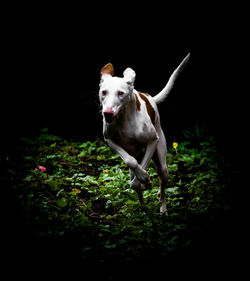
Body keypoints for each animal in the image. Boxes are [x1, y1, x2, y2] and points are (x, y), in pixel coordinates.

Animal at [99, 53, 189, 213]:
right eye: (104, 92)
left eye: (120, 93)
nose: (107, 113)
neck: (124, 119)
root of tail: (151, 97)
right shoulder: (110, 141)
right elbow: (131, 162)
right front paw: (143, 179)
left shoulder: (153, 141)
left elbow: (141, 174)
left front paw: (145, 179)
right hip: (133, 162)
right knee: (135, 176)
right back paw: (142, 207)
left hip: (162, 162)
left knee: (162, 183)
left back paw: (163, 208)